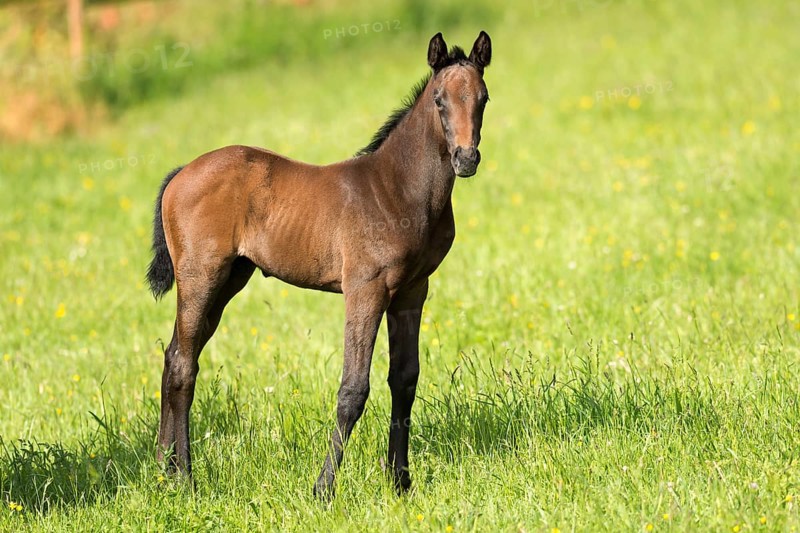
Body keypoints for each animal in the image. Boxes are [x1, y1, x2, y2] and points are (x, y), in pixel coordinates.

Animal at [146, 31, 491, 499]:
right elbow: (353, 389)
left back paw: (164, 470)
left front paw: (400, 482)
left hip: (230, 279)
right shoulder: (365, 289)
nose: (466, 159)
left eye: (483, 98)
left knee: (174, 356)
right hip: (202, 277)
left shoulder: (411, 291)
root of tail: (182, 173)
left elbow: (404, 379)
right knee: (183, 365)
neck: (397, 190)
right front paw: (323, 489)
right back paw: (184, 477)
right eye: (439, 99)